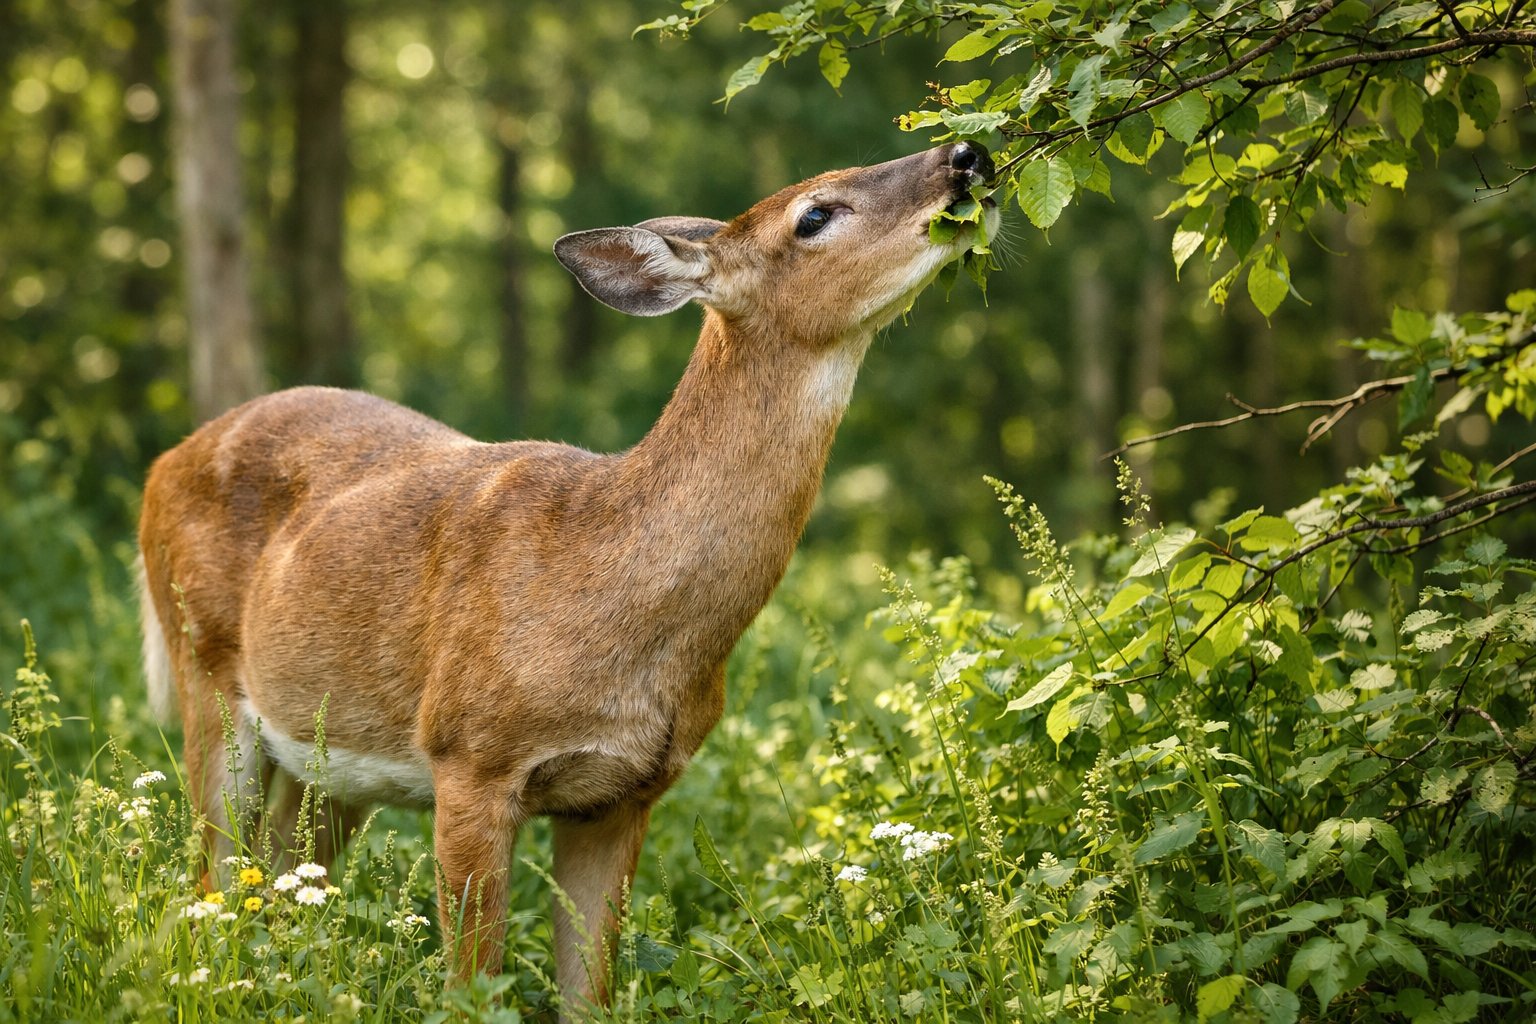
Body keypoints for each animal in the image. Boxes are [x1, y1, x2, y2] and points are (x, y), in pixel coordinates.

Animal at [137, 141, 999, 1012]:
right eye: (815, 213)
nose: (966, 154)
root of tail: (163, 461)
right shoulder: (468, 755)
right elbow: (472, 988)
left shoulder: (626, 792)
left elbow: (591, 991)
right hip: (206, 672)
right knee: (210, 881)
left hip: (327, 757)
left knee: (275, 876)